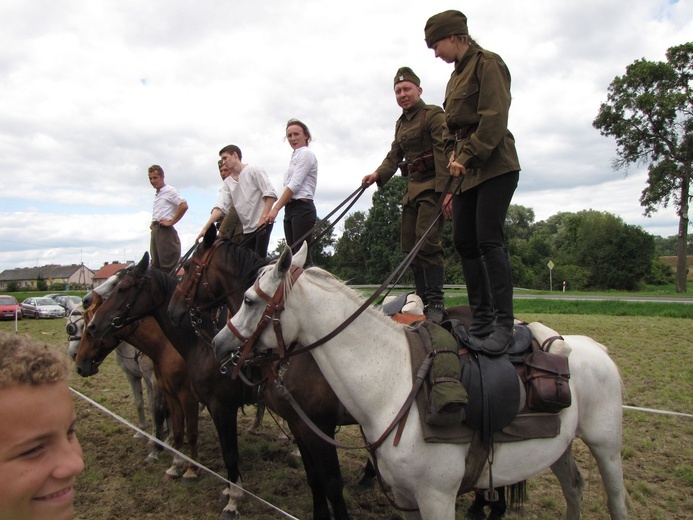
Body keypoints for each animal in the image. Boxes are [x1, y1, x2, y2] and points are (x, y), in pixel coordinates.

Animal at [76, 290, 200, 482]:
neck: (165, 344)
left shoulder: (177, 392)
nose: (79, 365)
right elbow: (156, 410)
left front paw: (157, 449)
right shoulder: (160, 386)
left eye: (90, 330)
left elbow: (159, 413)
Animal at [168, 228, 368, 520]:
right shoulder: (298, 425)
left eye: (191, 266)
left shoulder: (319, 427)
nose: (172, 310)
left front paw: (233, 498)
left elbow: (331, 485)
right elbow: (314, 478)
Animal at [215, 246, 628, 520]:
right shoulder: (406, 498)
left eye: (249, 300)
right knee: (573, 488)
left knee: (615, 499)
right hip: (559, 448)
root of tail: (595, 348)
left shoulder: (436, 498)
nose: (220, 342)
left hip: (606, 448)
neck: (393, 386)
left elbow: (329, 483)